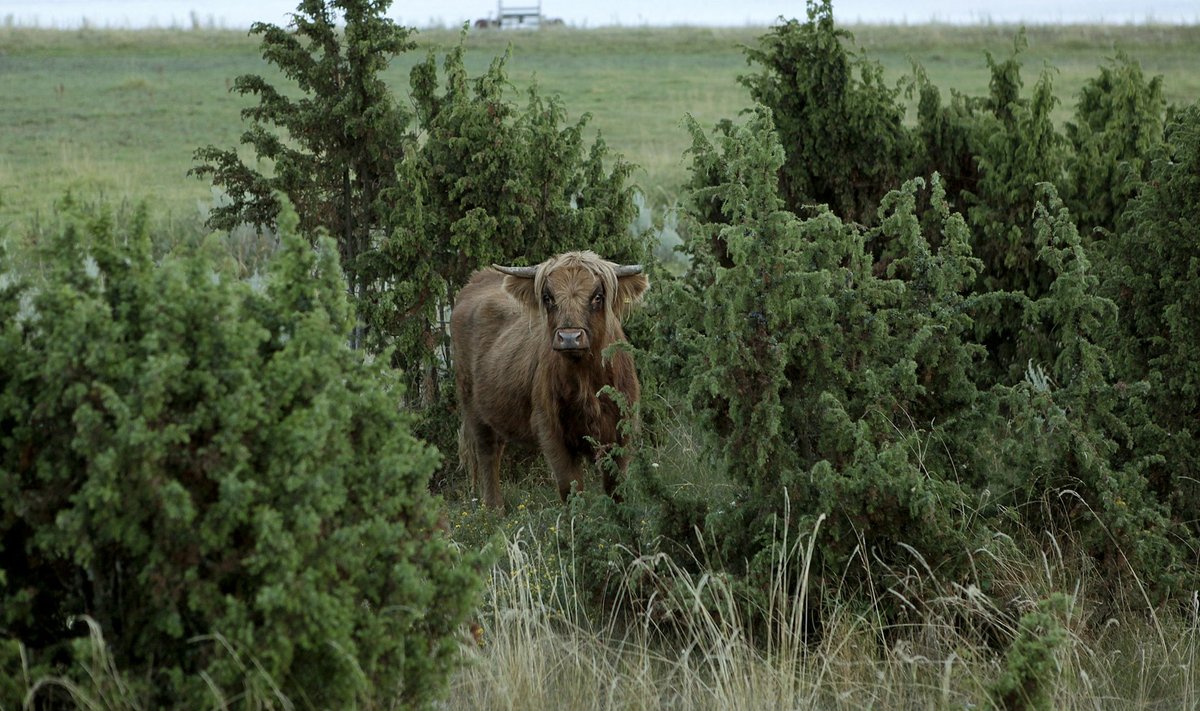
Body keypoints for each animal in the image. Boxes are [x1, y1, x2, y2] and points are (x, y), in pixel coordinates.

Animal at [453, 252, 652, 509]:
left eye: (597, 297)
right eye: (548, 298)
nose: (569, 337)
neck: (586, 381)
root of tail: (478, 279)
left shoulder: (622, 429)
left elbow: (616, 485)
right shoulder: (550, 429)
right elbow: (570, 486)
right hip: (472, 405)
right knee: (488, 453)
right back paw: (494, 509)